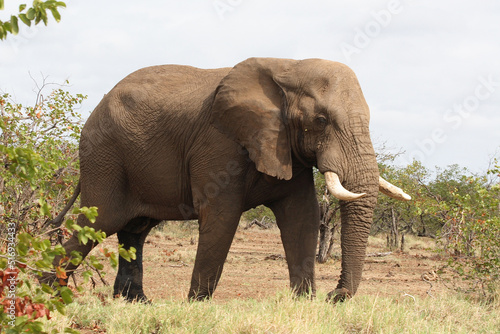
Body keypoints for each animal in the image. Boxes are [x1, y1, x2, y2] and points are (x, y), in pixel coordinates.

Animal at [47, 57, 410, 302]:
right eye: (321, 120)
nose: (335, 297)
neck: (287, 68)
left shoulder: (284, 147)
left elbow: (302, 216)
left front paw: (304, 302)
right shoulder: (218, 143)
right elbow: (222, 215)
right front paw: (197, 306)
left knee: (134, 230)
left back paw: (136, 302)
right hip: (104, 157)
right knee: (99, 223)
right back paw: (49, 289)